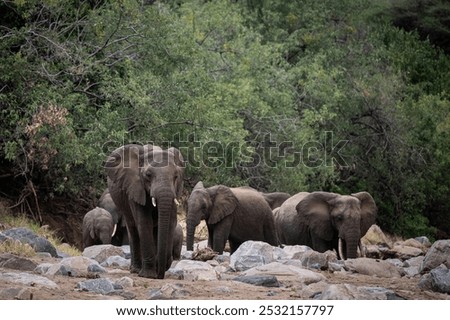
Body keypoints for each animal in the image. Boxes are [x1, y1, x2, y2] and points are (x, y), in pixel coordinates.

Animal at [104, 144, 184, 278]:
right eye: (148, 175)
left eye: (176, 176)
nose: (160, 275)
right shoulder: (135, 188)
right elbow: (144, 222)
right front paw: (149, 275)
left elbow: (171, 222)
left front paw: (160, 267)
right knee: (133, 229)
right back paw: (136, 270)